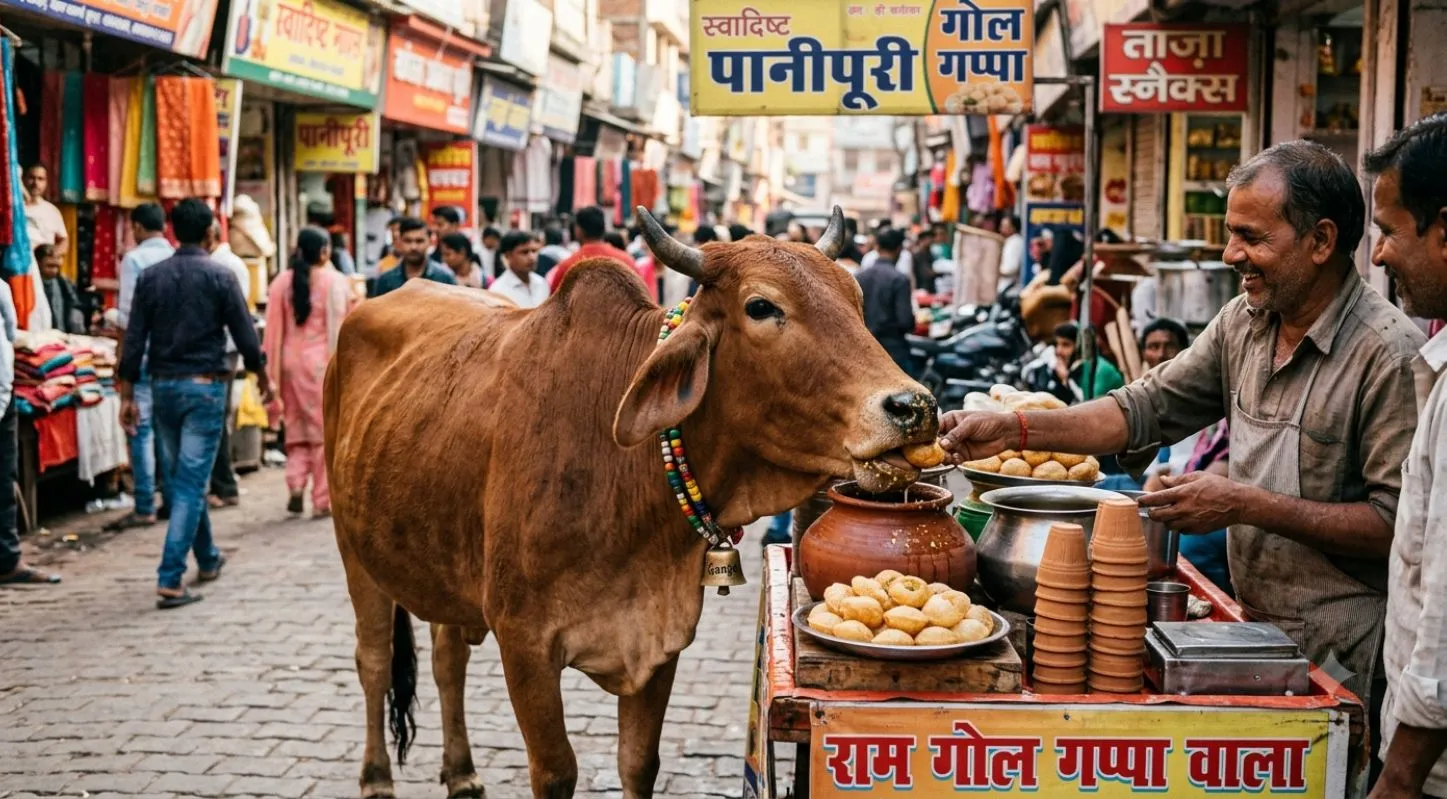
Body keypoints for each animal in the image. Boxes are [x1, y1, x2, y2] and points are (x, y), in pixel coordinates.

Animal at [324, 207, 938, 798]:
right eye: (761, 306)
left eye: (856, 297)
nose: (914, 407)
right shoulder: (524, 644)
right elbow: (556, 772)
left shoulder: (661, 639)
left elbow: (639, 763)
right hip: (355, 551)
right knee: (373, 660)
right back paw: (376, 776)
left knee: (448, 659)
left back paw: (462, 772)